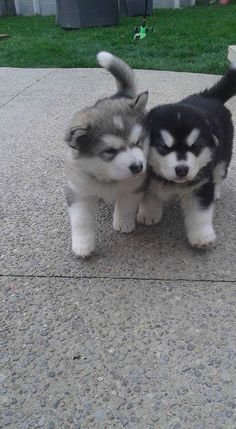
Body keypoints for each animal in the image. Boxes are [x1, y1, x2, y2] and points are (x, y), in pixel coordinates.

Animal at [65, 51, 149, 256]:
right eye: (110, 150)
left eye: (138, 142)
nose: (138, 167)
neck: (109, 178)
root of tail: (121, 95)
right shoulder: (79, 192)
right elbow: (81, 219)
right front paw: (83, 245)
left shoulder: (133, 186)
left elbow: (126, 205)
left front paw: (123, 223)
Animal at [138, 65, 236, 249]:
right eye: (163, 147)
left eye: (195, 147)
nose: (182, 170)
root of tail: (209, 96)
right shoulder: (148, 179)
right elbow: (150, 197)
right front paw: (149, 214)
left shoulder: (201, 185)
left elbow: (200, 214)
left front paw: (202, 237)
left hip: (224, 155)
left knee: (219, 174)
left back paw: (216, 191)